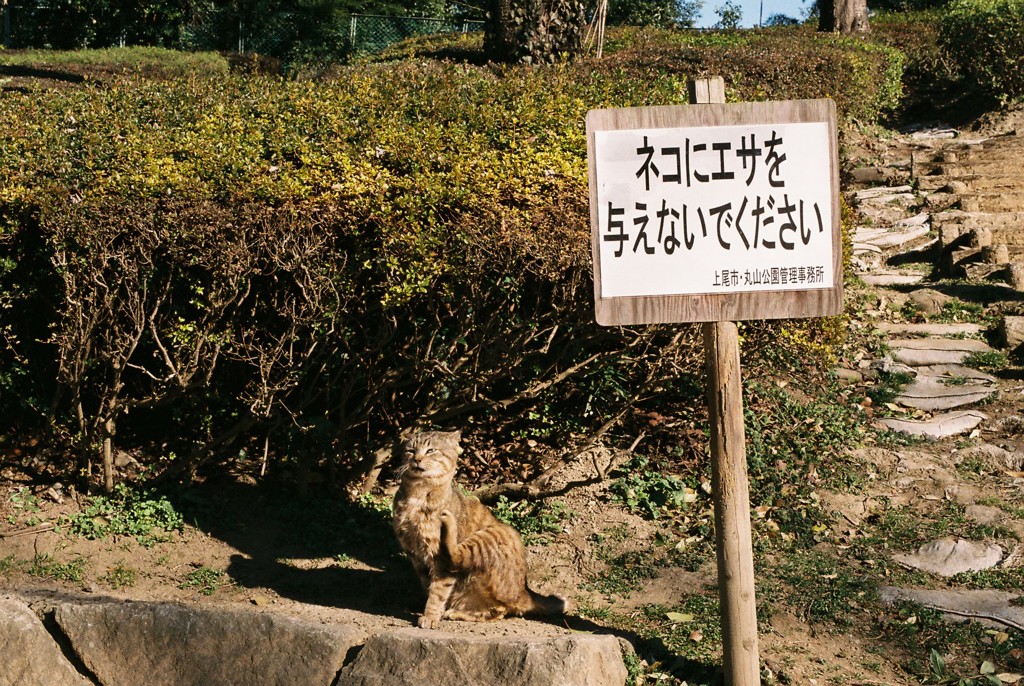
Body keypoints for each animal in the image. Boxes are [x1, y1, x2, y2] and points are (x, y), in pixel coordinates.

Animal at [391, 432, 569, 630]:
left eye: (431, 450)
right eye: (410, 450)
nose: (417, 459)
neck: (417, 494)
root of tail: (525, 591)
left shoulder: (437, 559)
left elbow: (437, 591)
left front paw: (430, 616)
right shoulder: (415, 555)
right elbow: (430, 586)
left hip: (495, 534)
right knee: (497, 610)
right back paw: (455, 612)